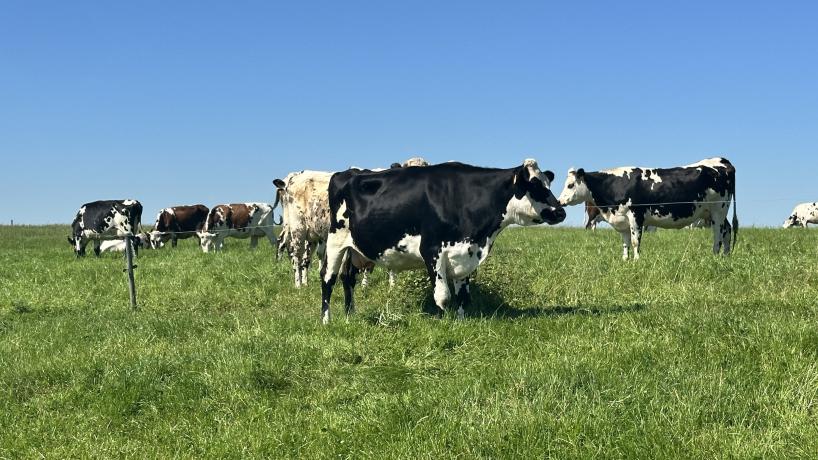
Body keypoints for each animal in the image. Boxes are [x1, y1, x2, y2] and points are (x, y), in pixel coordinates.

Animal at [319, 159, 566, 324]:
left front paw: (461, 321)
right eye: (534, 186)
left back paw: (350, 315)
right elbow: (442, 295)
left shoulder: (466, 252)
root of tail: (346, 172)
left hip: (355, 249)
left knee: (348, 278)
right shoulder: (432, 250)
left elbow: (463, 296)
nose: (561, 212)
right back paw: (326, 320)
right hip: (335, 240)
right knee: (328, 278)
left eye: (548, 184)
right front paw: (440, 322)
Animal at [557, 157, 737, 260]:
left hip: (718, 210)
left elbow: (635, 241)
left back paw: (715, 256)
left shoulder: (636, 215)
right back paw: (726, 256)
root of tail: (722, 160)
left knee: (718, 234)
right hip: (714, 212)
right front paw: (625, 260)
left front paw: (637, 261)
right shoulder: (622, 219)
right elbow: (625, 242)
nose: (559, 201)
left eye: (570, 185)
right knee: (727, 230)